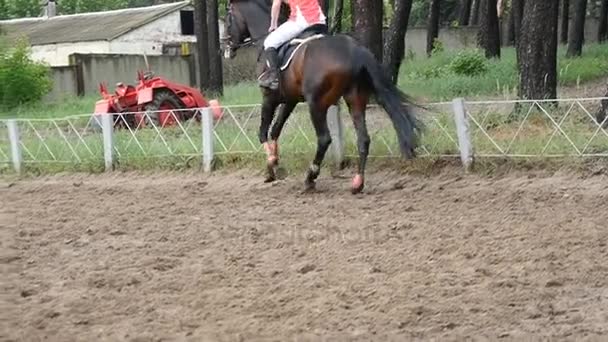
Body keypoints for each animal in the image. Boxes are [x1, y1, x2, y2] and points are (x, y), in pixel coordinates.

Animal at [223, 0, 422, 194]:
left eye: (227, 19)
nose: (225, 46)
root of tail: (355, 50)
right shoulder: (290, 100)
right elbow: (275, 130)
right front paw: (273, 168)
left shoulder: (269, 98)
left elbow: (263, 132)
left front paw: (272, 163)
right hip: (355, 99)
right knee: (363, 139)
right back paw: (357, 183)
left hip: (317, 104)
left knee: (324, 139)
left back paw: (310, 178)